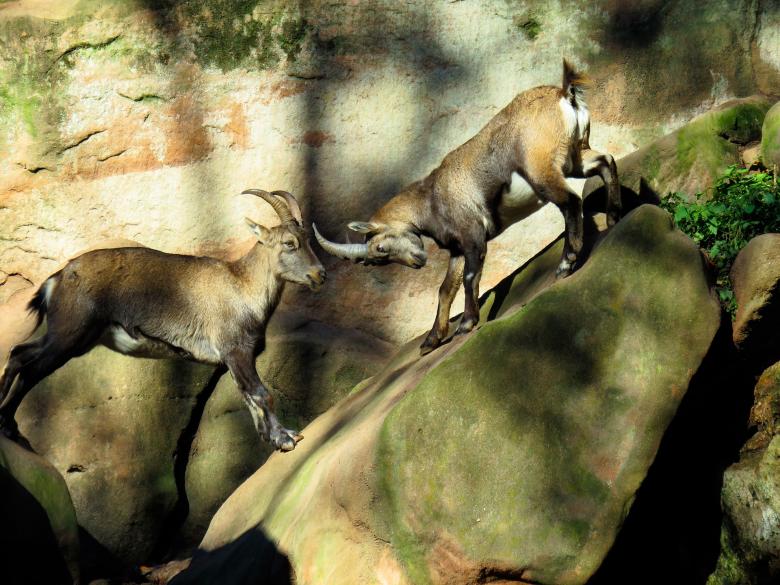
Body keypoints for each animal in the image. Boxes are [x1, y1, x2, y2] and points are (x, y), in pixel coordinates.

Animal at [0, 189, 325, 452]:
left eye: (308, 240)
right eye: (289, 243)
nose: (319, 274)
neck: (242, 286)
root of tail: (55, 280)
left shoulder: (234, 359)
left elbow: (248, 395)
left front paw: (272, 438)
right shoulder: (235, 350)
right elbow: (261, 394)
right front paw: (287, 438)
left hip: (71, 337)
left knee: (20, 355)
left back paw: (8, 425)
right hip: (70, 334)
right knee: (30, 367)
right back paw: (9, 427)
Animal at [313, 59, 621, 355]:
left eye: (378, 248)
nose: (417, 263)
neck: (430, 199)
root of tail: (564, 95)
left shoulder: (472, 235)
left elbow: (470, 278)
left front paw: (466, 324)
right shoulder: (457, 248)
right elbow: (444, 288)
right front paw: (431, 341)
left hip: (542, 169)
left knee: (571, 202)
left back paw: (566, 264)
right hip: (576, 155)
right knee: (606, 162)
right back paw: (614, 219)